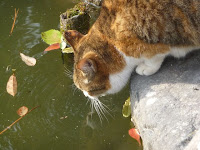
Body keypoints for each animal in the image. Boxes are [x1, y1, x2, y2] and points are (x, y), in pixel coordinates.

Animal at [63, 0, 200, 100]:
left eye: (87, 89)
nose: (86, 95)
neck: (112, 41)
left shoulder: (151, 47)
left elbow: (154, 58)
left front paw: (146, 68)